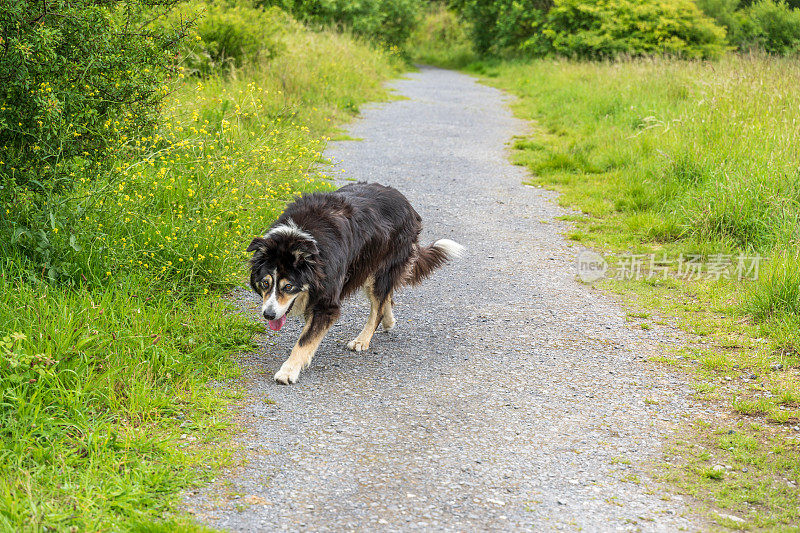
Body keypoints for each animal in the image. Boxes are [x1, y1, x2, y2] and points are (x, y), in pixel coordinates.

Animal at [247, 182, 466, 382]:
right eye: (265, 283)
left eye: (288, 286)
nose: (268, 315)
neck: (298, 238)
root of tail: (404, 200)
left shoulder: (327, 302)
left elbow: (305, 340)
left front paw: (288, 371)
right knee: (387, 298)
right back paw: (388, 320)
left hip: (380, 268)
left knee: (378, 307)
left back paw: (363, 339)